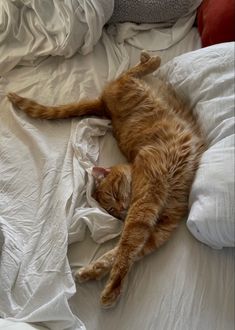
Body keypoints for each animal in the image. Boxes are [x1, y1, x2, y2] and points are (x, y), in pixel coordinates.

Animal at [7, 51, 206, 306]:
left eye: (113, 194)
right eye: (110, 211)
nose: (121, 210)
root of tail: (103, 106)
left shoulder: (145, 206)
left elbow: (126, 247)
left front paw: (112, 286)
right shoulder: (160, 228)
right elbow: (124, 251)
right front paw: (94, 272)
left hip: (130, 85)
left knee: (130, 72)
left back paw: (149, 59)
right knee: (129, 73)